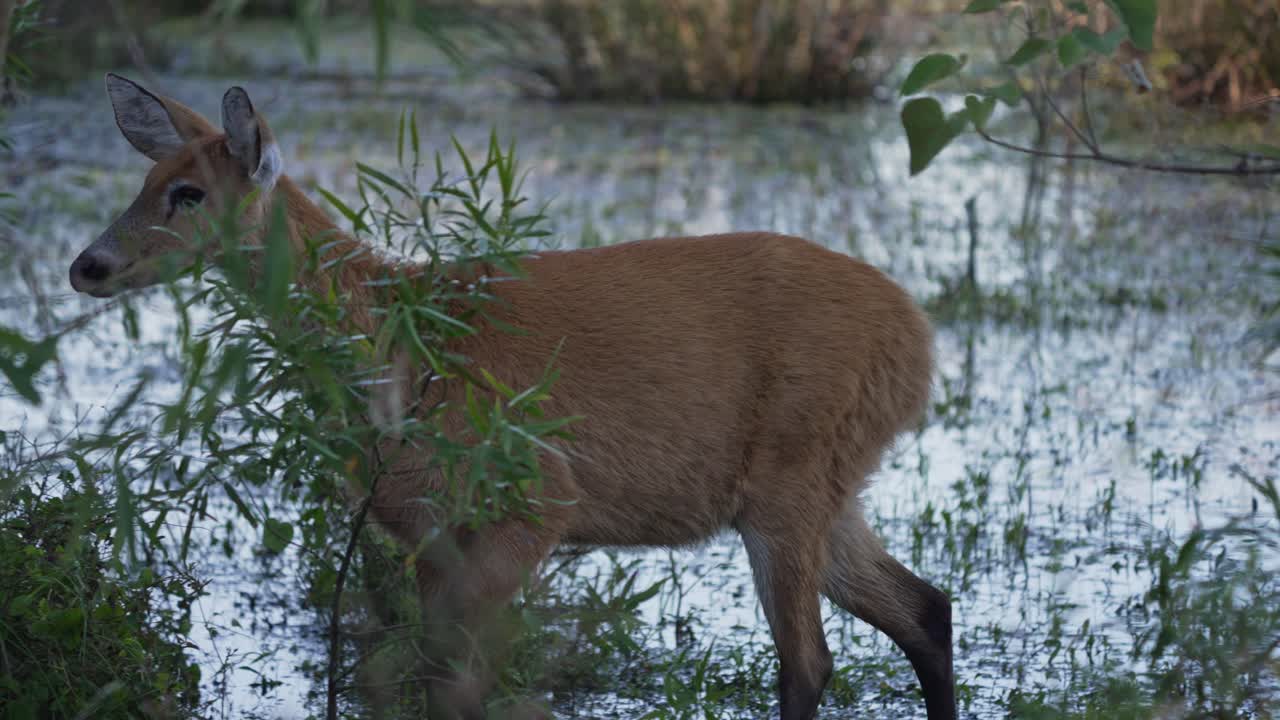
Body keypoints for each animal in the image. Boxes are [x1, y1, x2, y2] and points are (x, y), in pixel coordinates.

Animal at [69, 74, 955, 720]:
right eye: (145, 179)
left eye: (189, 193)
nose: (88, 266)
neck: (396, 335)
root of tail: (917, 335)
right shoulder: (427, 532)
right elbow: (434, 680)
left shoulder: (537, 499)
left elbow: (467, 683)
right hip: (823, 486)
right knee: (926, 608)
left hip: (791, 476)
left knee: (809, 662)